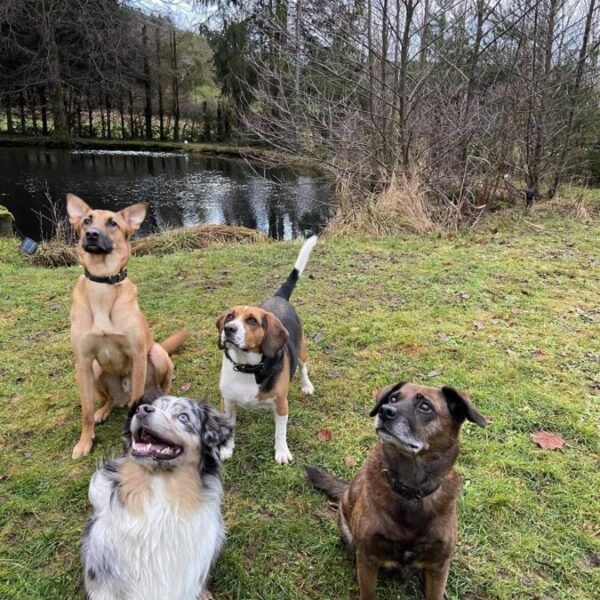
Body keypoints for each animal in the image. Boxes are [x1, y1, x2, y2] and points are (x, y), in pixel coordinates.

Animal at [66, 195, 189, 458]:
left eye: (112, 223)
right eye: (86, 220)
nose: (91, 234)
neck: (103, 285)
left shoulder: (138, 355)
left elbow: (136, 401)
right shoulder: (83, 362)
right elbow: (86, 411)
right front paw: (85, 442)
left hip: (157, 353)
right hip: (95, 369)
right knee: (108, 401)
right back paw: (104, 410)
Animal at [304, 382, 488, 596]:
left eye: (425, 406)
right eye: (393, 398)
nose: (385, 411)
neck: (410, 490)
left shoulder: (439, 565)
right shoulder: (368, 557)